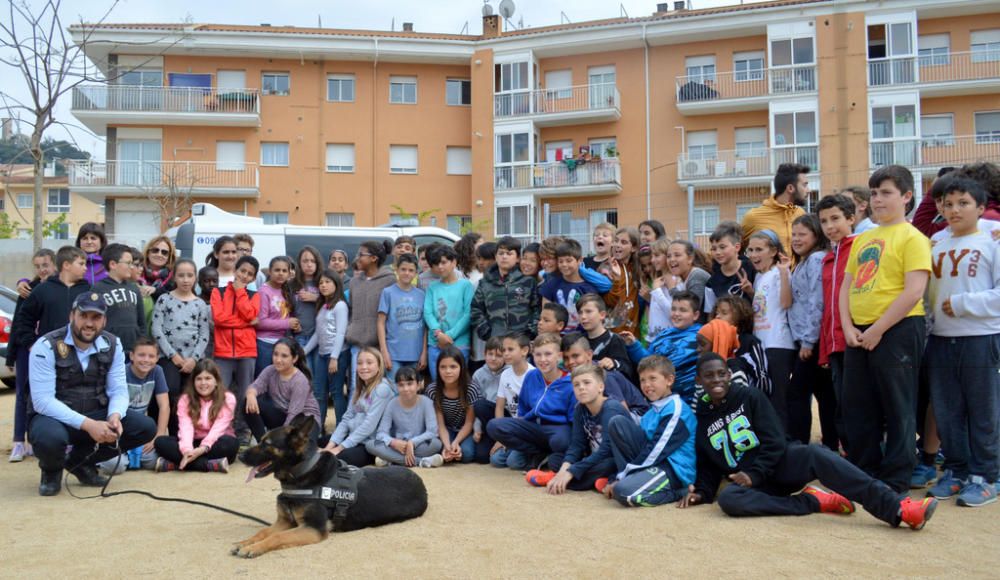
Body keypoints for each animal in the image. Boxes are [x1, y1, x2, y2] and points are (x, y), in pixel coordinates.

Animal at [235, 412, 430, 556]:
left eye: (267, 444)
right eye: (260, 440)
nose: (240, 455)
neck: (301, 473)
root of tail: (420, 481)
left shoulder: (313, 528)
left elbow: (277, 538)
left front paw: (253, 548)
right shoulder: (285, 521)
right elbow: (263, 532)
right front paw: (245, 542)